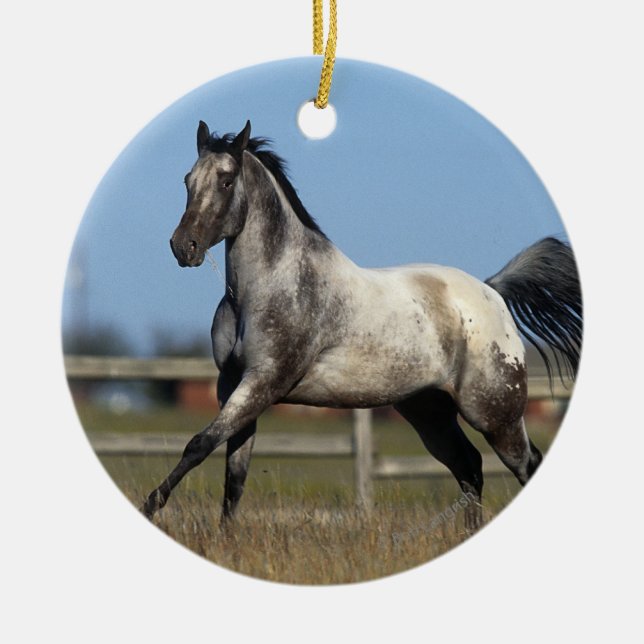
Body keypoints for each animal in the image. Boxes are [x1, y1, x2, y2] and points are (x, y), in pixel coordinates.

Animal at [141, 120, 582, 531]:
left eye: (226, 180)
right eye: (187, 180)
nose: (183, 247)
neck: (267, 287)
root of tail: (493, 292)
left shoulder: (264, 381)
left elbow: (199, 444)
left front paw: (150, 506)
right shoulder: (233, 384)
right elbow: (234, 475)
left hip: (494, 415)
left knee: (524, 463)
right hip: (429, 413)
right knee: (470, 467)